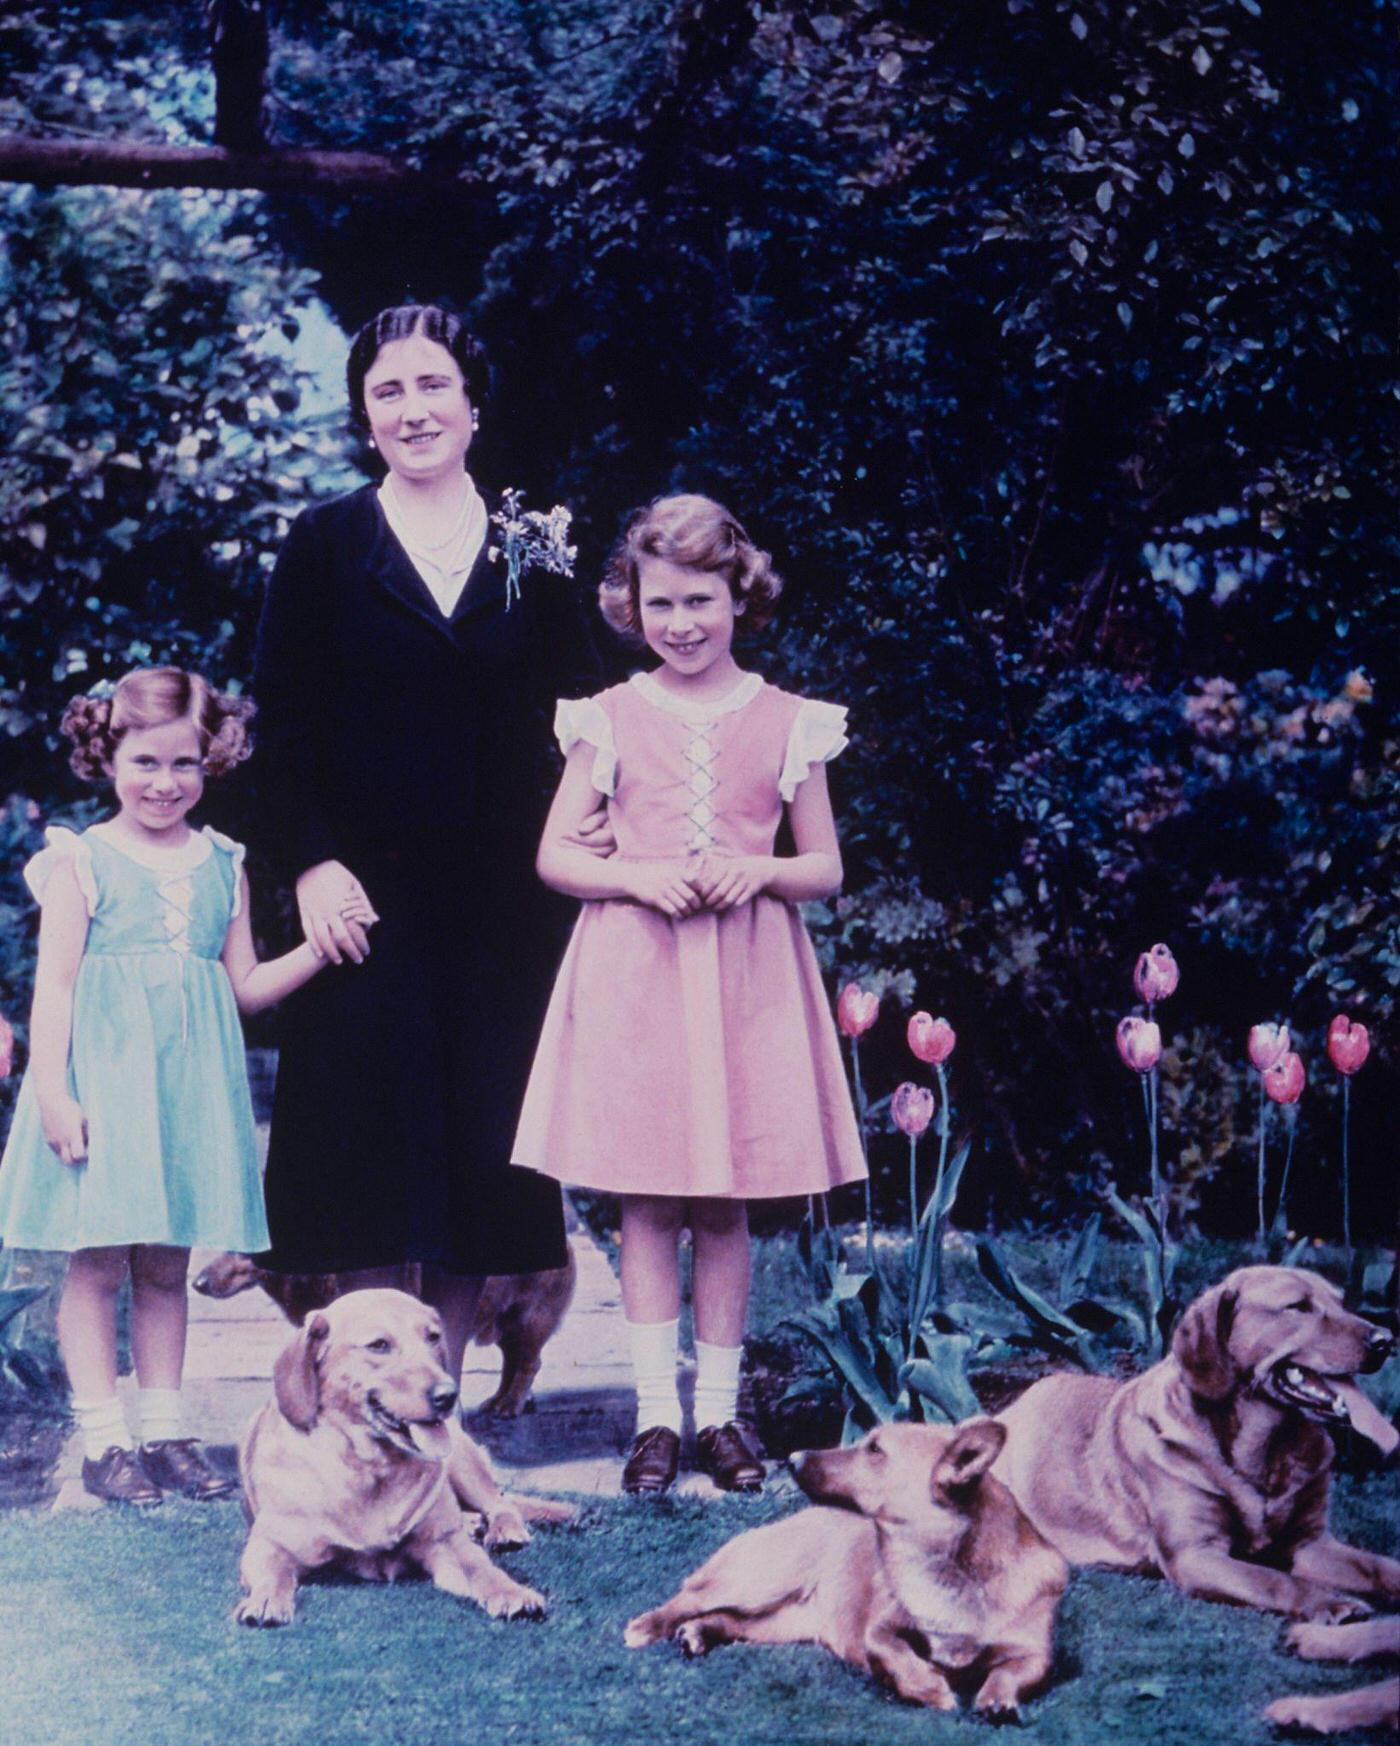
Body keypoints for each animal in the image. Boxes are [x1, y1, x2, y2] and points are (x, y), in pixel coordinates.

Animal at [233, 1292, 572, 1627]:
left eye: (433, 1337)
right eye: (379, 1345)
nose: (448, 1395)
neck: (370, 1468)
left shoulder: (447, 1545)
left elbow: (483, 1569)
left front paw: (512, 1591)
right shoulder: (269, 1544)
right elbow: (273, 1575)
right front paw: (265, 1599)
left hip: (463, 1462)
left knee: (501, 1504)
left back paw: (502, 1531)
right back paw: (473, 1522)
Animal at [628, 1424, 1061, 1725]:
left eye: (875, 1450)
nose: (792, 1458)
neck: (946, 1568)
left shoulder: (1036, 1655)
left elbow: (1010, 1674)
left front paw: (997, 1701)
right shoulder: (880, 1630)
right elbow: (893, 1653)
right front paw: (930, 1689)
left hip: (779, 1623)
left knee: (726, 1621)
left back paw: (697, 1634)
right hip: (756, 1580)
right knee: (688, 1599)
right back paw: (648, 1626)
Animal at [991, 1271, 1396, 1620]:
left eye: (1342, 1303)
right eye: (1298, 1306)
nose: (1386, 1340)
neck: (1268, 1452)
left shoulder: (1310, 1542)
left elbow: (1378, 1565)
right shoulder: (1195, 1555)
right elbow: (1275, 1580)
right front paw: (1329, 1602)